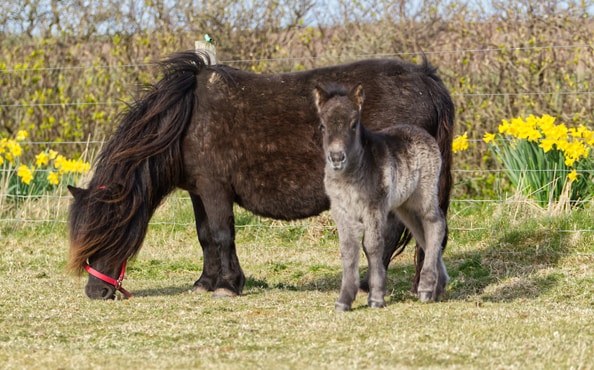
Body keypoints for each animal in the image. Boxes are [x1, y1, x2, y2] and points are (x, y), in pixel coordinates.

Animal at [67, 51, 450, 300]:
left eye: (108, 233)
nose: (96, 292)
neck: (187, 120)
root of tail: (426, 80)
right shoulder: (198, 191)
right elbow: (205, 236)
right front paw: (206, 282)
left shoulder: (215, 188)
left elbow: (222, 234)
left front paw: (226, 285)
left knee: (392, 231)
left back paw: (373, 284)